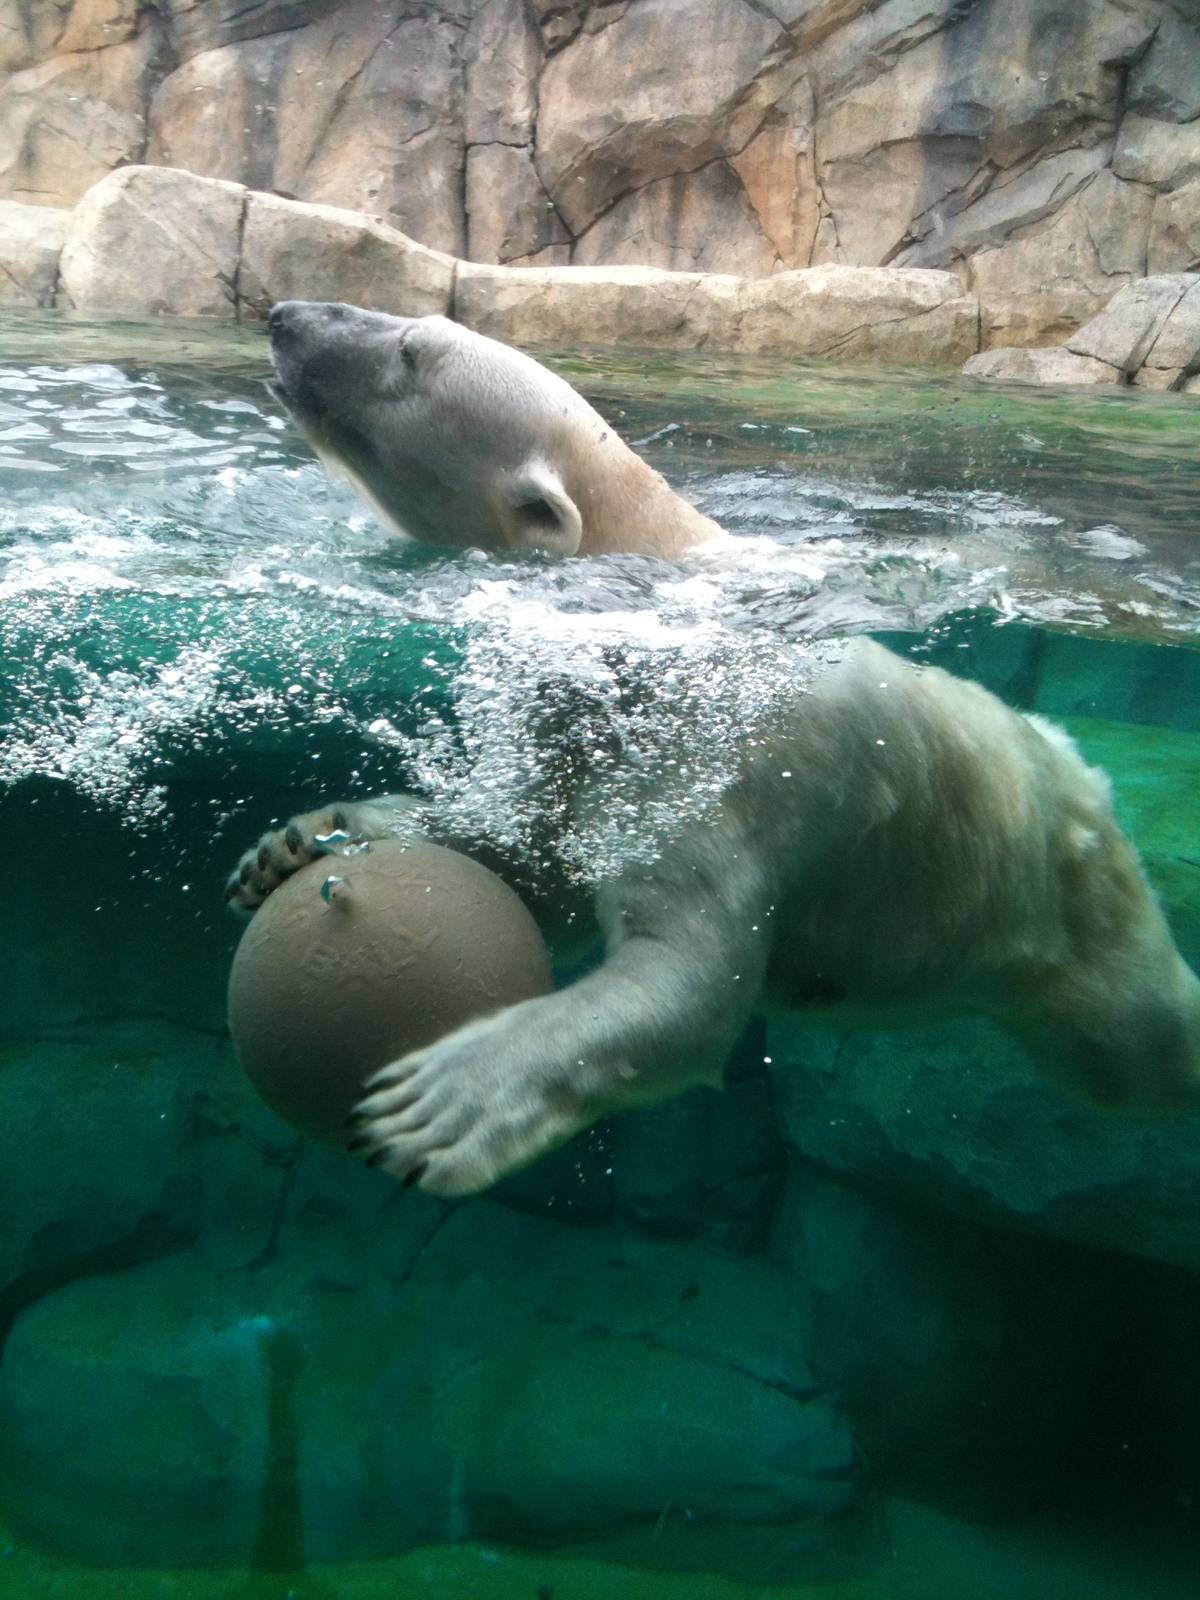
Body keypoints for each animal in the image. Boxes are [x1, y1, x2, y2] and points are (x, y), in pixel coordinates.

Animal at [227, 301, 1200, 1198]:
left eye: (413, 351)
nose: (284, 316)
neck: (648, 594)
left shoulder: (717, 758)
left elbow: (686, 982)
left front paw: (441, 1100)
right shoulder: (572, 731)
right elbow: (536, 856)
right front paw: (301, 840)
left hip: (1074, 896)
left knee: (1136, 1044)